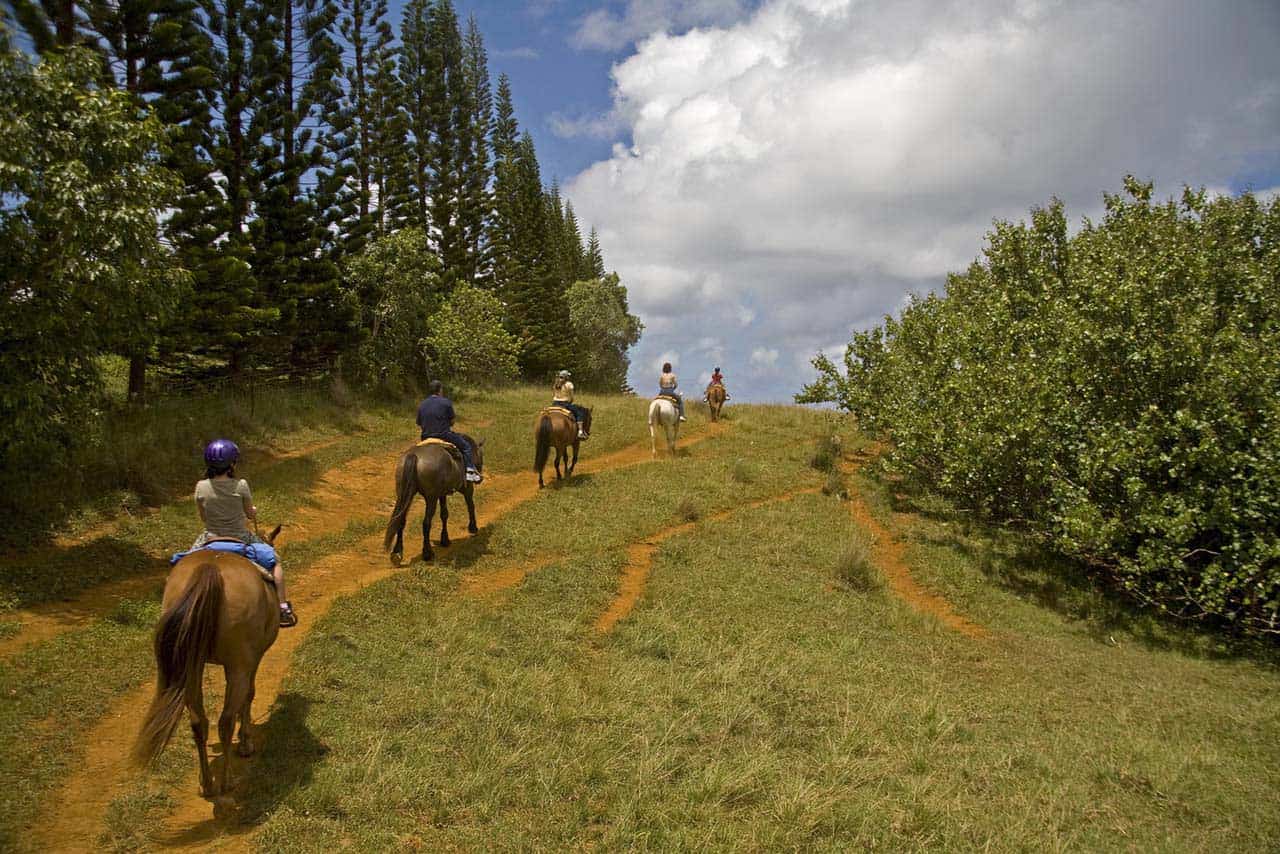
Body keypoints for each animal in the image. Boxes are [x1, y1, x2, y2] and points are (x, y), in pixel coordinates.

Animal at [133, 524, 284, 798]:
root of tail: (210, 569)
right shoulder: (252, 659)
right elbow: (249, 695)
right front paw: (245, 742)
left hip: (191, 667)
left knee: (198, 723)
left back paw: (206, 783)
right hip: (237, 665)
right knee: (224, 721)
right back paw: (227, 781)